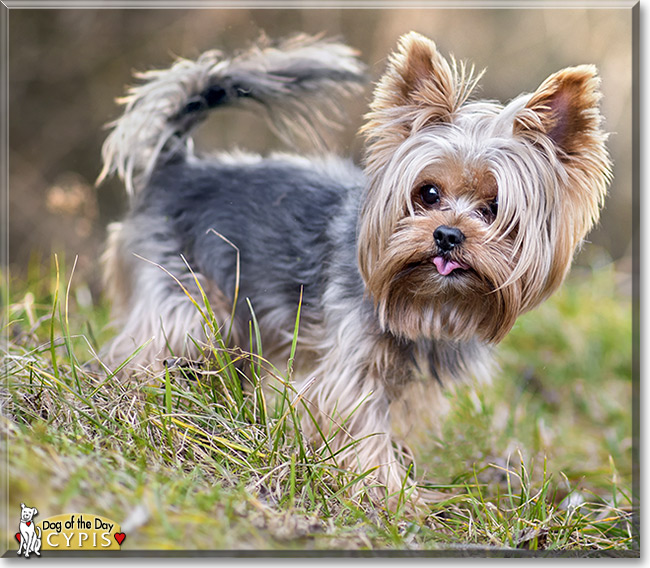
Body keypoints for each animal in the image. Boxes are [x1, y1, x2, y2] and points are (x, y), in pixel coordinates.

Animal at [98, 33, 612, 504]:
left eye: (494, 208)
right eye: (428, 193)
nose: (447, 235)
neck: (426, 301)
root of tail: (177, 166)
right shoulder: (351, 368)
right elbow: (362, 429)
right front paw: (391, 496)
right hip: (184, 298)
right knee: (150, 347)